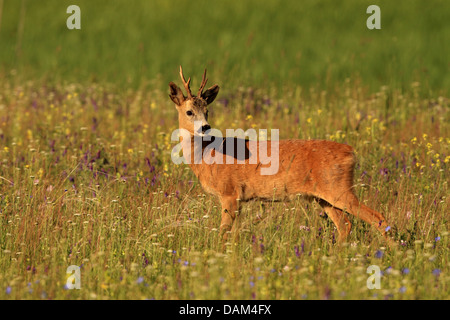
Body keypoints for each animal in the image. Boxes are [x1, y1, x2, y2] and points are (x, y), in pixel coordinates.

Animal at [167, 66, 392, 244]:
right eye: (189, 112)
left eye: (207, 111)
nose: (205, 127)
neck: (208, 156)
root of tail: (350, 151)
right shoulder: (238, 199)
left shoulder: (229, 192)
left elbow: (223, 233)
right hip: (325, 197)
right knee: (345, 225)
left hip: (339, 189)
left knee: (377, 218)